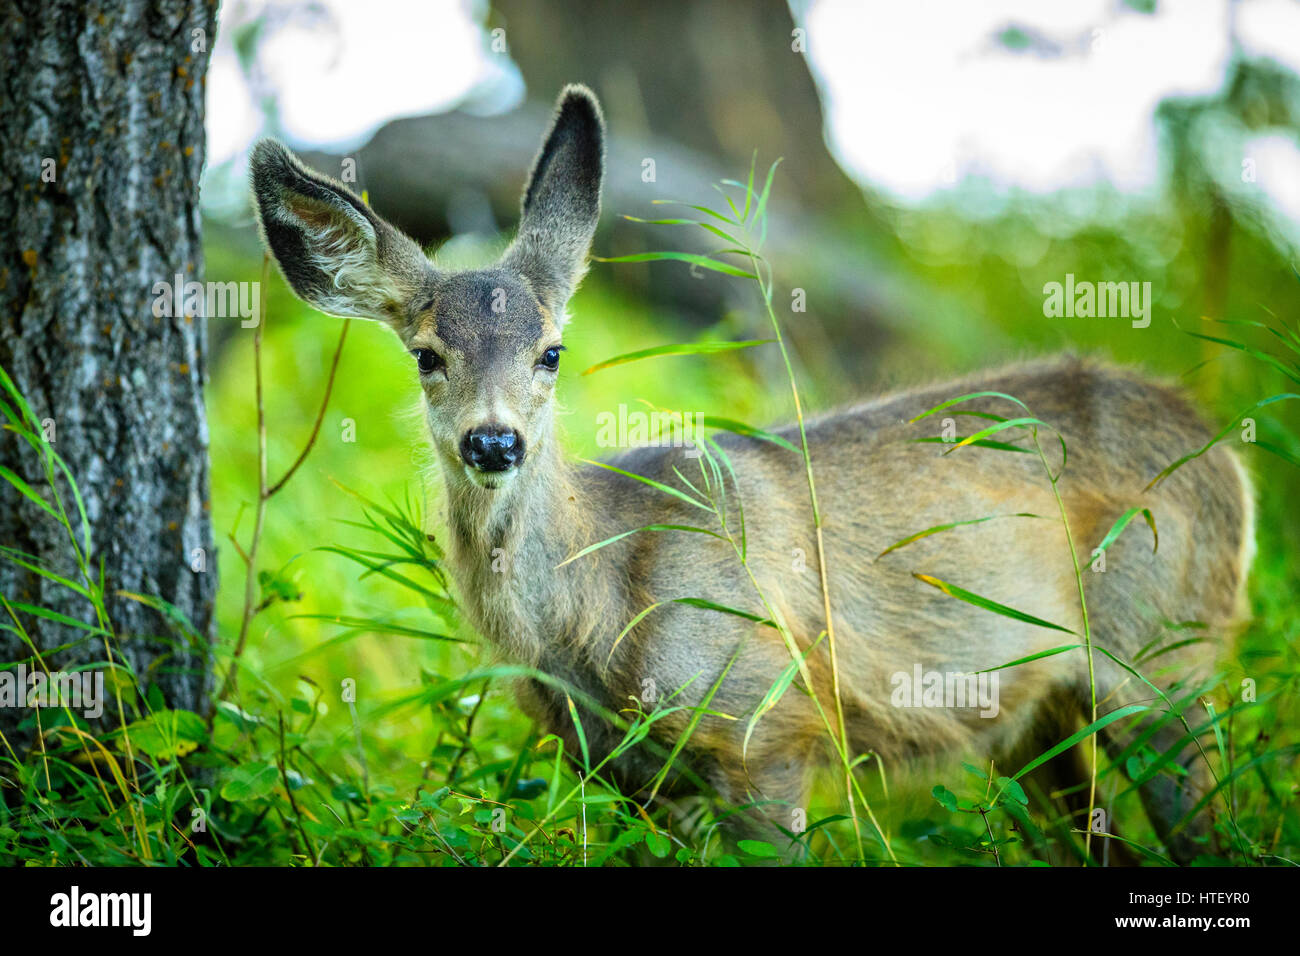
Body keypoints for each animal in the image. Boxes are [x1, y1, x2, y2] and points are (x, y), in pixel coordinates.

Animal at [250, 84, 1254, 864]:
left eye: (551, 352)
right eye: (426, 354)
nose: (492, 444)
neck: (594, 620)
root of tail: (1224, 449)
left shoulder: (765, 728)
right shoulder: (629, 778)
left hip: (1161, 653)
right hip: (1045, 713)